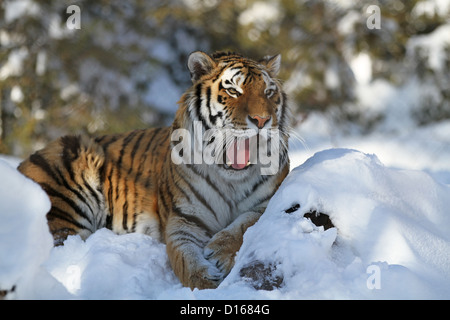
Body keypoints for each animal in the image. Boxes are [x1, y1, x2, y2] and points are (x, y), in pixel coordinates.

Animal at [18, 50, 292, 290]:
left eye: (268, 92)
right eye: (233, 90)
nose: (262, 120)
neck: (231, 178)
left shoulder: (270, 202)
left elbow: (245, 224)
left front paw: (220, 253)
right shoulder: (184, 219)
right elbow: (186, 260)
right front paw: (206, 283)